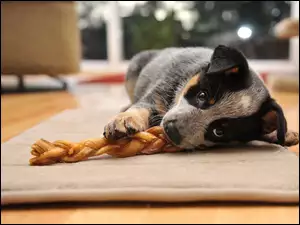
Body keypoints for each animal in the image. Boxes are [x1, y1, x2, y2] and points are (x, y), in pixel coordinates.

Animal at [102, 44, 298, 150]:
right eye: (202, 95)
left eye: (219, 131)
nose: (171, 130)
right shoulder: (158, 93)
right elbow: (141, 107)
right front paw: (124, 120)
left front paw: (282, 134)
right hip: (132, 71)